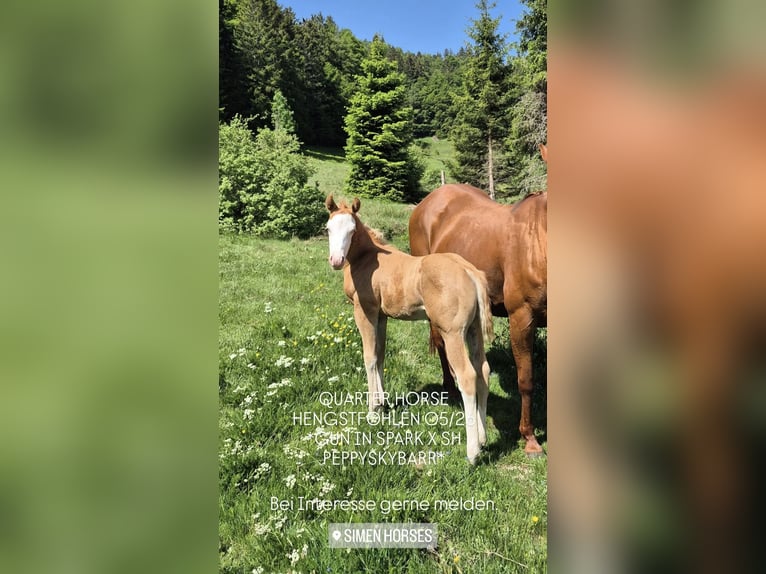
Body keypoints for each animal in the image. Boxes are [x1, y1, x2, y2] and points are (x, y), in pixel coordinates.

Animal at [324, 195, 495, 464]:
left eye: (352, 230)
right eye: (328, 229)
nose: (336, 261)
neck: (367, 258)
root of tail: (469, 271)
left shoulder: (365, 311)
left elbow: (369, 357)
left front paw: (372, 411)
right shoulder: (381, 315)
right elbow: (380, 355)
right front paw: (382, 403)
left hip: (452, 333)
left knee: (467, 376)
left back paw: (472, 452)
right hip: (474, 329)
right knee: (483, 371)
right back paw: (483, 438)